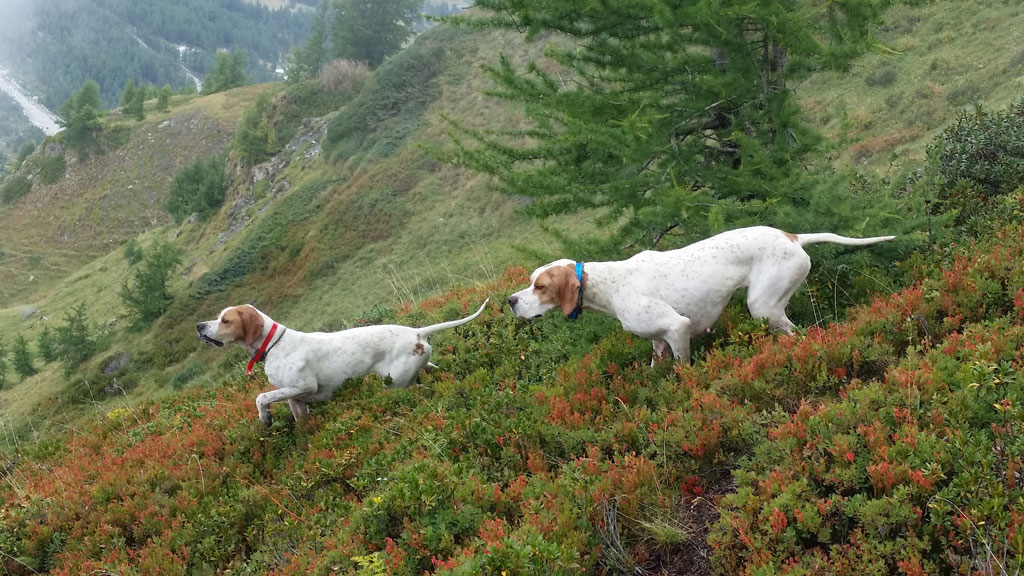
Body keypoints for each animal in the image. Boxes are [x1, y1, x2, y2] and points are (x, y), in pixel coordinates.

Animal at [200, 297, 491, 424]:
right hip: (421, 366)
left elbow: (261, 397)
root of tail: (417, 332)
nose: (199, 326)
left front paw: (265, 417)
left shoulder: (304, 386)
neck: (275, 344)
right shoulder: (296, 398)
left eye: (225, 320)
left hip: (396, 384)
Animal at [507, 226, 892, 360]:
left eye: (540, 286)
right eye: (530, 281)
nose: (510, 301)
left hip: (763, 306)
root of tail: (793, 237)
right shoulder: (658, 341)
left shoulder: (677, 328)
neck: (612, 285)